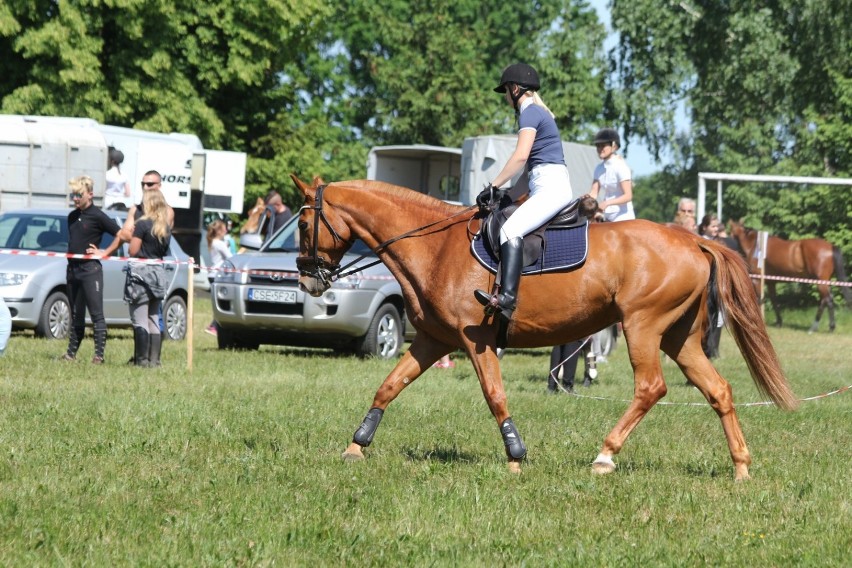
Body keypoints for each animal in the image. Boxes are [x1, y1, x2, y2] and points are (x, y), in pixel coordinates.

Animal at [294, 176, 800, 480]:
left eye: (301, 222)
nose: (305, 278)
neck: (435, 247)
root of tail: (694, 240)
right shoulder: (434, 340)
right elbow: (388, 386)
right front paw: (357, 445)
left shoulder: (476, 341)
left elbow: (494, 395)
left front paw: (515, 456)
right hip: (680, 338)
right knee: (718, 390)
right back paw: (741, 467)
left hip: (643, 326)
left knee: (651, 387)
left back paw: (605, 455)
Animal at [724, 219, 852, 332]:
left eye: (730, 231)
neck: (755, 246)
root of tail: (831, 247)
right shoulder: (771, 282)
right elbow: (774, 300)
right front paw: (779, 322)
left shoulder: (757, 280)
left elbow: (758, 299)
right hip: (824, 282)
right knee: (825, 300)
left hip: (821, 282)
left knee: (827, 300)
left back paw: (822, 327)